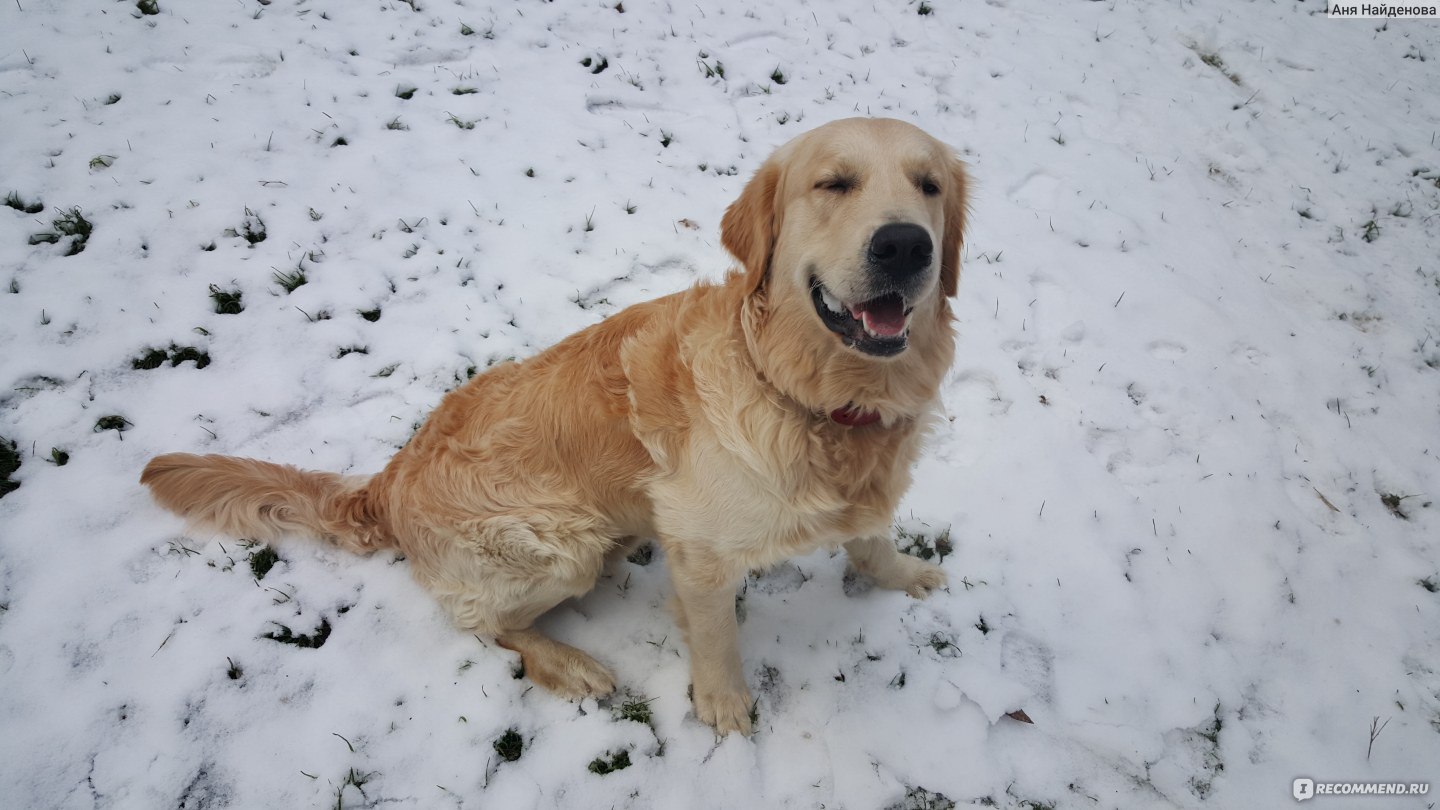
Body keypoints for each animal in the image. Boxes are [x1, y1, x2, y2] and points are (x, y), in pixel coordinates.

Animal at [140, 118, 973, 732]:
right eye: (833, 183)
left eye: (929, 185)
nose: (905, 244)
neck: (813, 395)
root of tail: (391, 476)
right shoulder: (700, 552)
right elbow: (715, 637)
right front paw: (724, 706)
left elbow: (870, 539)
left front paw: (902, 575)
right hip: (558, 544)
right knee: (481, 623)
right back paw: (569, 663)